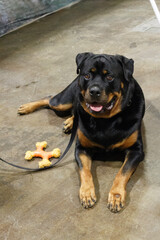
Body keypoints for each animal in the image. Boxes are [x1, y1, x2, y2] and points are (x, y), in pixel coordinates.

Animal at [17, 52, 145, 212]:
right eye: (87, 76)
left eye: (110, 77)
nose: (94, 91)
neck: (106, 120)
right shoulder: (81, 148)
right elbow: (85, 171)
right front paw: (87, 193)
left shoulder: (136, 150)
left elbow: (122, 172)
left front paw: (116, 196)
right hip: (62, 102)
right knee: (51, 99)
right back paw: (27, 107)